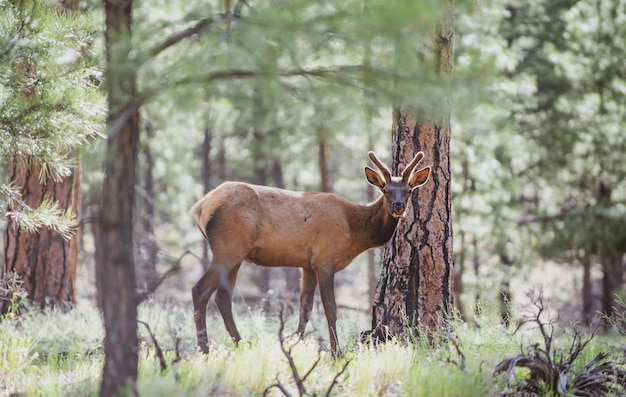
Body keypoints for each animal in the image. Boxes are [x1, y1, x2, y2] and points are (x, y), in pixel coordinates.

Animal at [188, 149, 428, 352]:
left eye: (408, 190)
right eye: (385, 190)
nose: (398, 206)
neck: (355, 232)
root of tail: (199, 207)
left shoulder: (308, 265)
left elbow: (305, 308)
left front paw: (292, 345)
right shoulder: (325, 259)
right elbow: (330, 308)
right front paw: (336, 353)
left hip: (236, 253)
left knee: (223, 297)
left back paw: (241, 345)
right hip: (228, 247)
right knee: (200, 290)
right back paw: (204, 350)